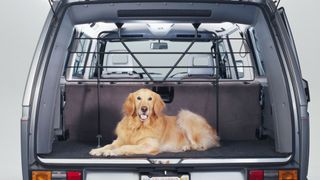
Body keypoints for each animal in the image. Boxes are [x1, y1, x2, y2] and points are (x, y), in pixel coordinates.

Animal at [90, 88, 220, 156]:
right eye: (138, 98)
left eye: (150, 99)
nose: (144, 109)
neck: (137, 126)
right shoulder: (119, 140)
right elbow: (109, 145)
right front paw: (99, 150)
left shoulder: (149, 145)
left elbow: (126, 146)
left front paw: (111, 152)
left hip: (185, 115)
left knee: (201, 145)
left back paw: (186, 147)